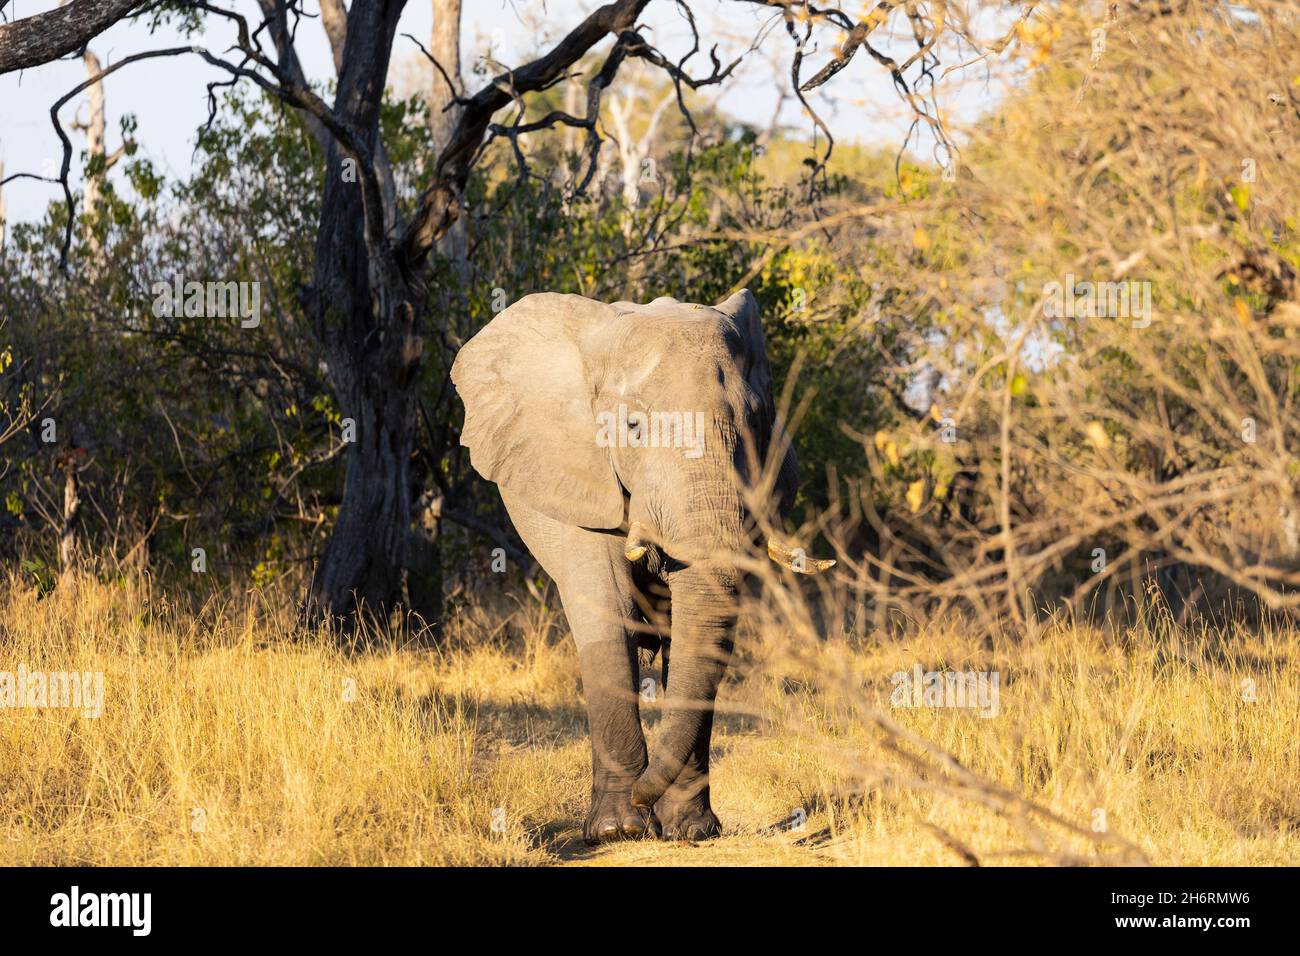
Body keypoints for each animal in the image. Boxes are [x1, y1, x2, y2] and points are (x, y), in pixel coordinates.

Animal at [449, 287, 832, 842]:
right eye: (632, 427)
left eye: (756, 423)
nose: (640, 796)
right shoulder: (580, 477)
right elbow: (607, 609)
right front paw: (619, 830)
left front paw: (690, 830)